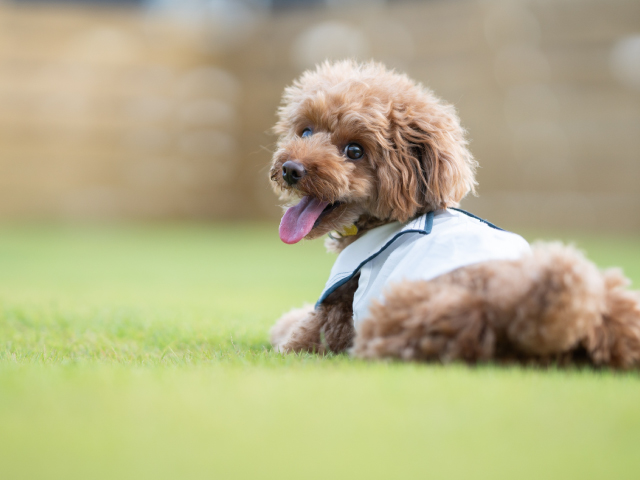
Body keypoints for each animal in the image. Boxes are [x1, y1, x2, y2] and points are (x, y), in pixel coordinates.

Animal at [266, 60, 640, 368]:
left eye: (354, 151)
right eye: (306, 131)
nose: (291, 169)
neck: (383, 221)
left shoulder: (328, 319)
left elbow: (290, 330)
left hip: (391, 316)